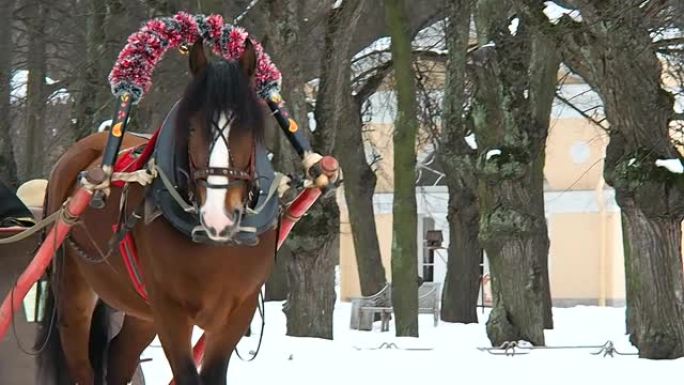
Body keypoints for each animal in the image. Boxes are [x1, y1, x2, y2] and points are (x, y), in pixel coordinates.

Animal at [36, 38, 276, 380]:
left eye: (249, 127)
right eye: (191, 127)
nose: (218, 216)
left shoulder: (236, 313)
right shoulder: (170, 311)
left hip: (142, 313)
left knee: (120, 356)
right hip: (74, 294)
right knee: (81, 364)